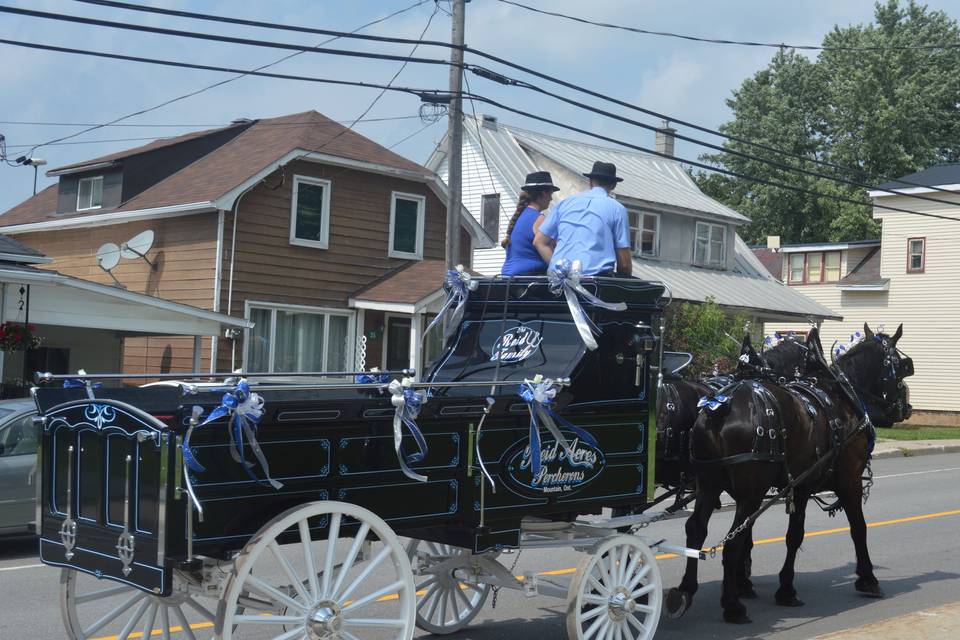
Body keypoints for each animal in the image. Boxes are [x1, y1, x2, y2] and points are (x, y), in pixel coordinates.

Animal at [672, 322, 912, 624]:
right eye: (902, 366)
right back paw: (732, 605)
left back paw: (686, 590)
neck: (840, 396)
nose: (905, 408)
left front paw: (784, 588)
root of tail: (720, 407)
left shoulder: (800, 486)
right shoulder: (849, 479)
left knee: (696, 530)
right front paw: (867, 579)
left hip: (709, 482)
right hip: (751, 491)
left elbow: (793, 535)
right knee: (734, 540)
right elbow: (857, 528)